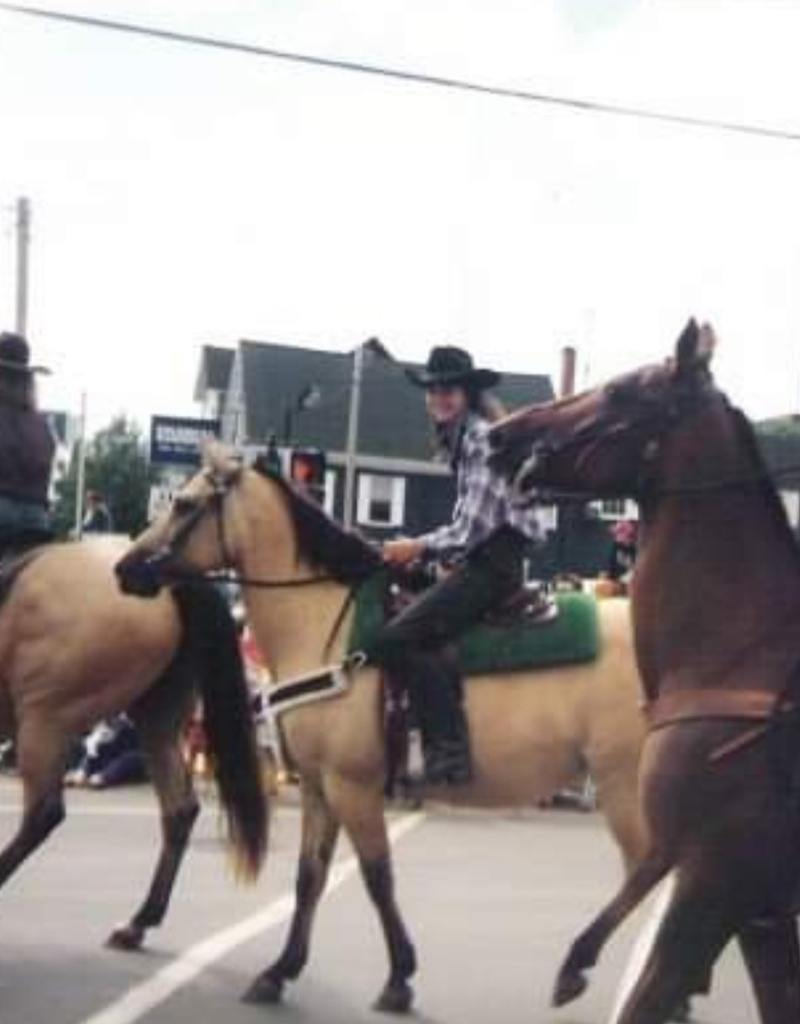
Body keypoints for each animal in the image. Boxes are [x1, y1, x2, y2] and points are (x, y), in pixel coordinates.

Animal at [115, 436, 651, 1011]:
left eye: (185, 504)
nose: (125, 568)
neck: (325, 626)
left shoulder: (353, 785)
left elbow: (377, 878)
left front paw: (398, 977)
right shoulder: (319, 787)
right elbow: (309, 877)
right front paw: (280, 970)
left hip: (623, 783)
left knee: (647, 868)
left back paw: (578, 965)